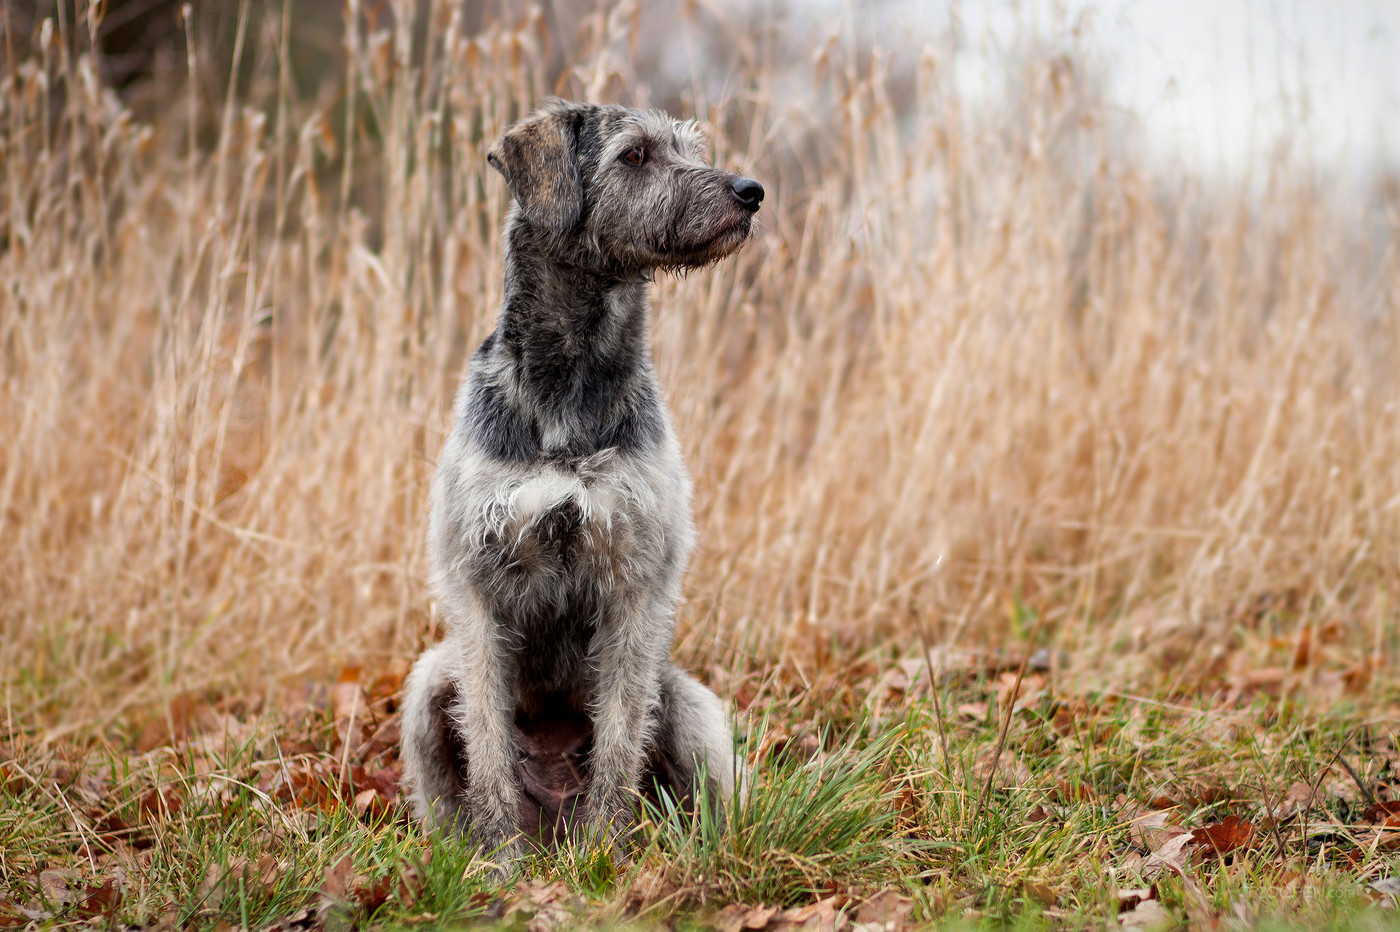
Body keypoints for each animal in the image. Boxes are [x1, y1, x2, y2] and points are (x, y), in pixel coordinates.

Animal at [394, 97, 767, 862]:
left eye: (689, 148)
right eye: (635, 155)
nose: (751, 191)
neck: (573, 377)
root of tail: (553, 822)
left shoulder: (636, 586)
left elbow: (620, 736)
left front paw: (607, 854)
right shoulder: (475, 588)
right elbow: (489, 741)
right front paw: (500, 862)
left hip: (691, 706)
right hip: (426, 684)